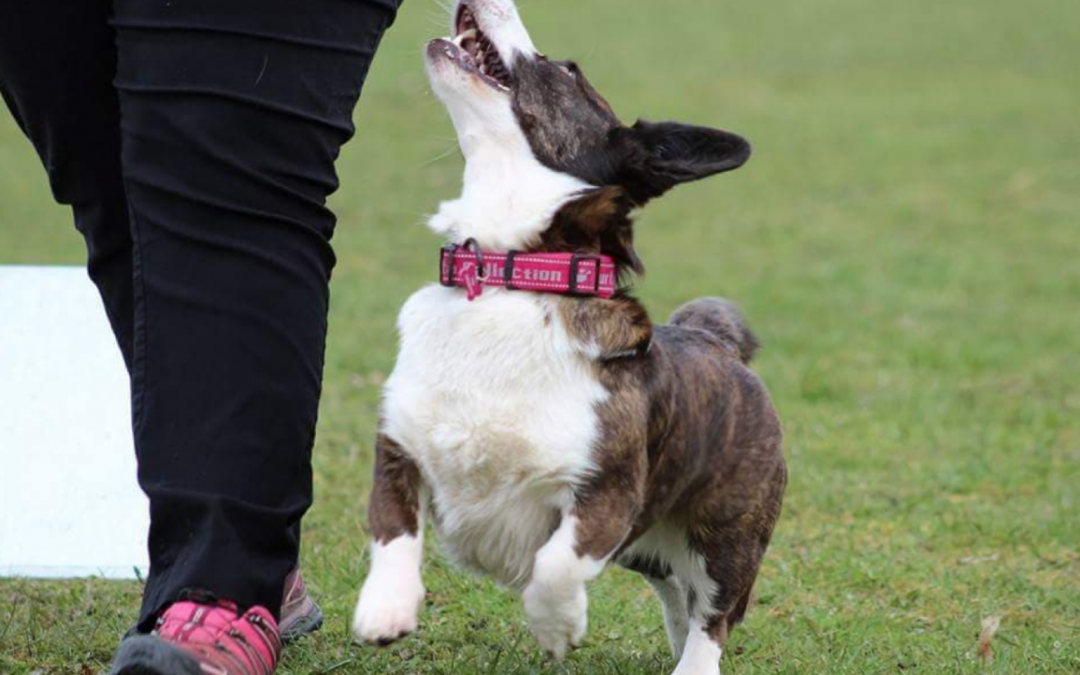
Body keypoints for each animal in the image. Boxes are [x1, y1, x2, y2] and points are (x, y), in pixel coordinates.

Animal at [354, 2, 786, 669]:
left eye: (567, 70)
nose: (493, 1)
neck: (508, 273)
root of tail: (716, 339)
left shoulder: (608, 496)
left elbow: (557, 564)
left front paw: (556, 627)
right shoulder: (399, 447)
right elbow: (392, 527)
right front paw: (385, 611)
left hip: (727, 536)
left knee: (714, 613)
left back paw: (692, 663)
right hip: (647, 543)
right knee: (675, 589)